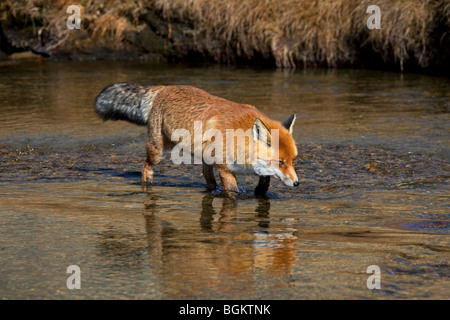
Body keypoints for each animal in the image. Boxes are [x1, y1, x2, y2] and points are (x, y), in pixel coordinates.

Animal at [95, 82, 298, 196]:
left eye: (292, 161)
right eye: (280, 162)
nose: (297, 183)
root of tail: (163, 88)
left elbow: (265, 179)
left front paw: (260, 192)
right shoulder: (225, 169)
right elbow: (233, 193)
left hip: (205, 157)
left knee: (207, 177)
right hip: (158, 151)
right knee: (146, 167)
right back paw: (147, 185)